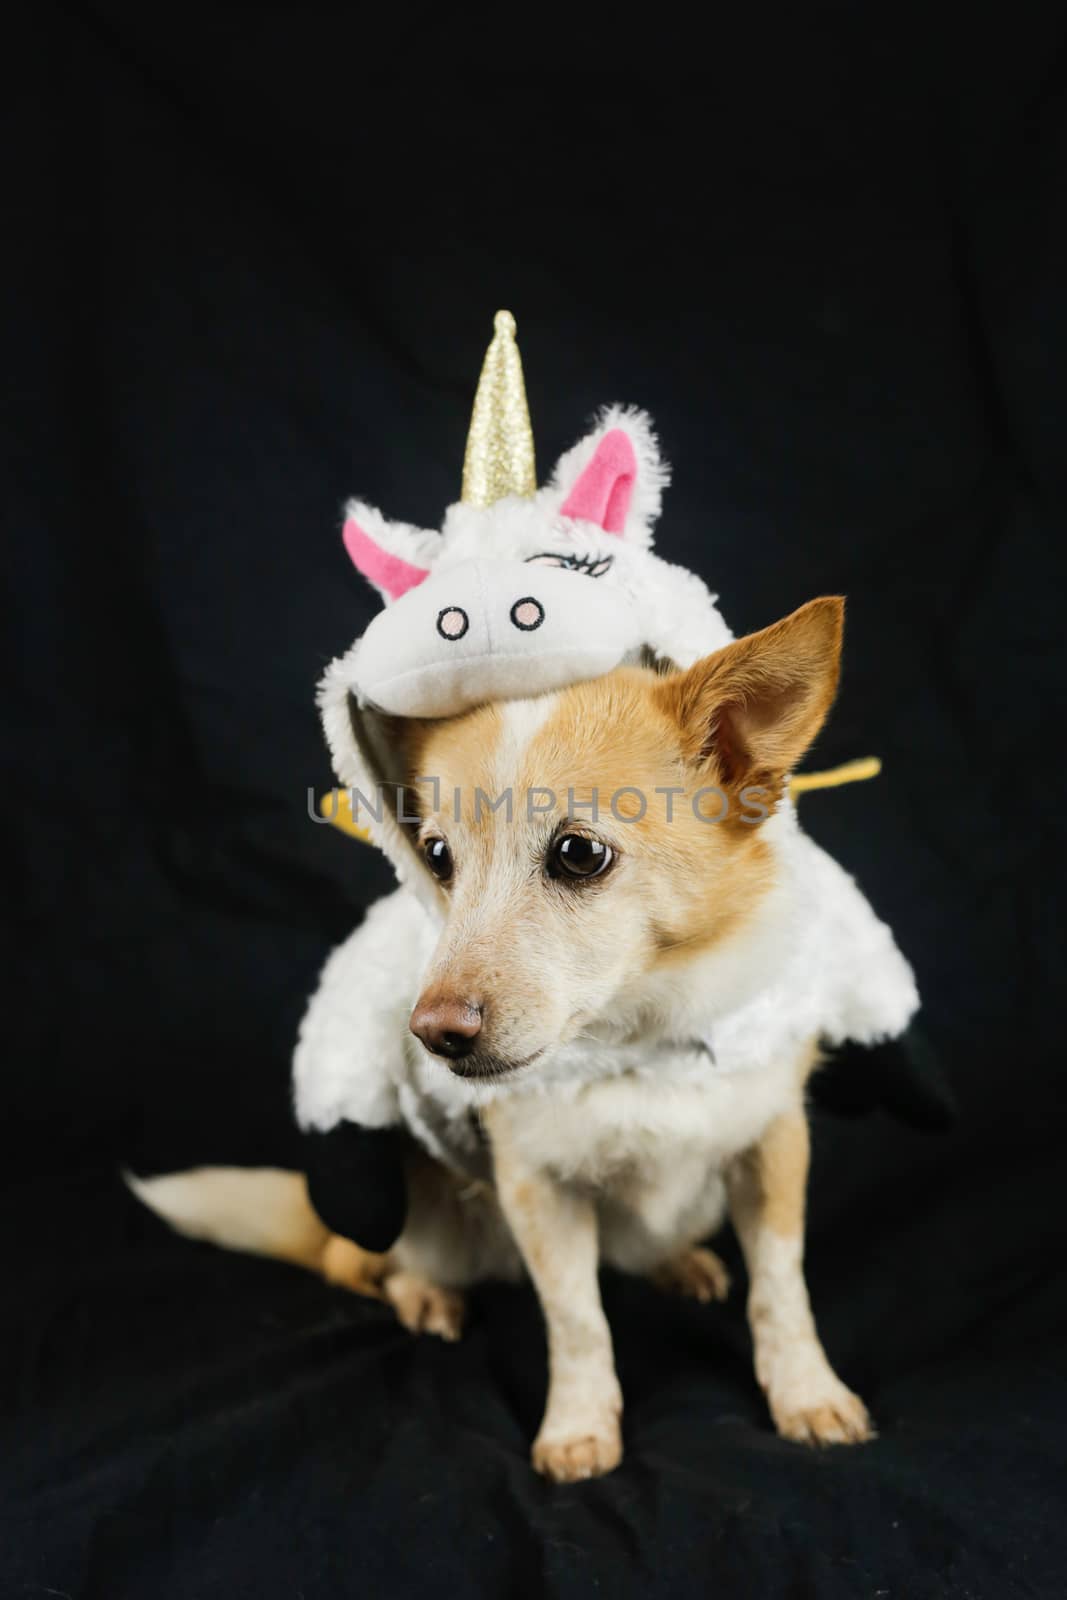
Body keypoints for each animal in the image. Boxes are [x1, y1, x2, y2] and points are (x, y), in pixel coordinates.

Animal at [133, 601, 902, 1484]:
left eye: (578, 852)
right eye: (437, 858)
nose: (432, 1034)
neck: (640, 1046)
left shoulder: (772, 1147)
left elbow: (779, 1287)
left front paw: (805, 1392)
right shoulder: (538, 1189)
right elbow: (577, 1320)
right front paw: (578, 1426)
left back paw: (679, 1262)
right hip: (415, 1219)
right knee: (362, 1266)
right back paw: (425, 1295)